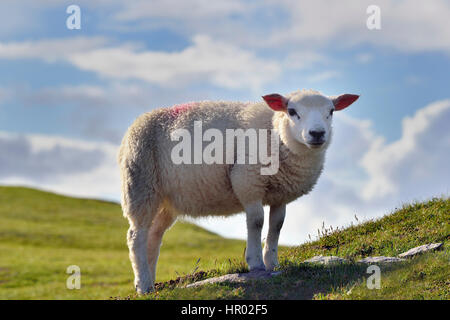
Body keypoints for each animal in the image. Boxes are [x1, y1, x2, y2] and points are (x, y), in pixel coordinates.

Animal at [118, 88, 358, 292]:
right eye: (292, 111)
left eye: (331, 111)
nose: (317, 133)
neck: (275, 132)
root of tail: (136, 123)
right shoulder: (248, 182)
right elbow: (257, 222)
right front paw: (255, 263)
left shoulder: (280, 193)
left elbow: (277, 225)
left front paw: (272, 263)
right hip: (140, 185)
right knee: (136, 236)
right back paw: (143, 284)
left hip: (165, 201)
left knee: (153, 236)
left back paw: (150, 283)